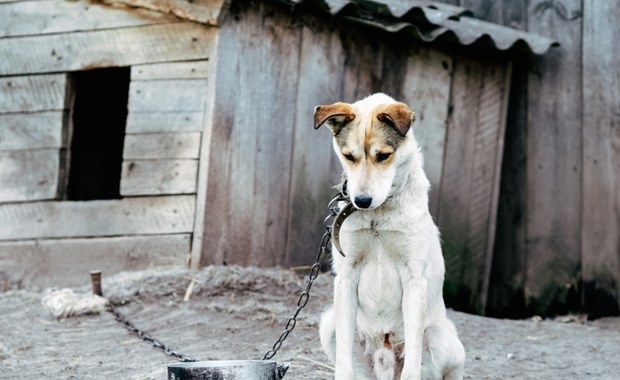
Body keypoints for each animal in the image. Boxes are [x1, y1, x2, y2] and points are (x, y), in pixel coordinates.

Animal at [314, 93, 464, 380]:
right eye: (349, 156)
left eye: (383, 155)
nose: (361, 201)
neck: (377, 216)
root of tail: (385, 359)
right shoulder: (346, 278)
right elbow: (343, 366)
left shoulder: (414, 279)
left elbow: (412, 365)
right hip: (329, 324)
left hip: (442, 337)